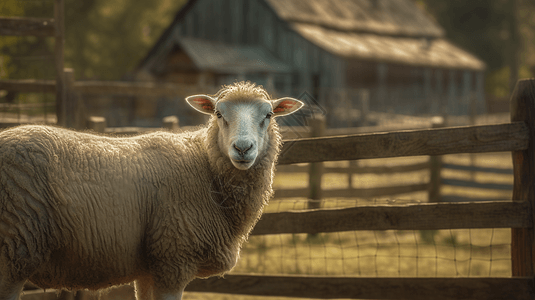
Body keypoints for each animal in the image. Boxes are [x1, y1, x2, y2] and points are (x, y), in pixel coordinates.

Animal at [0, 81, 304, 298]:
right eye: (218, 114)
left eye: (268, 115)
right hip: (13, 250)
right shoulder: (173, 262)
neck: (205, 168)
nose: (243, 148)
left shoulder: (149, 269)